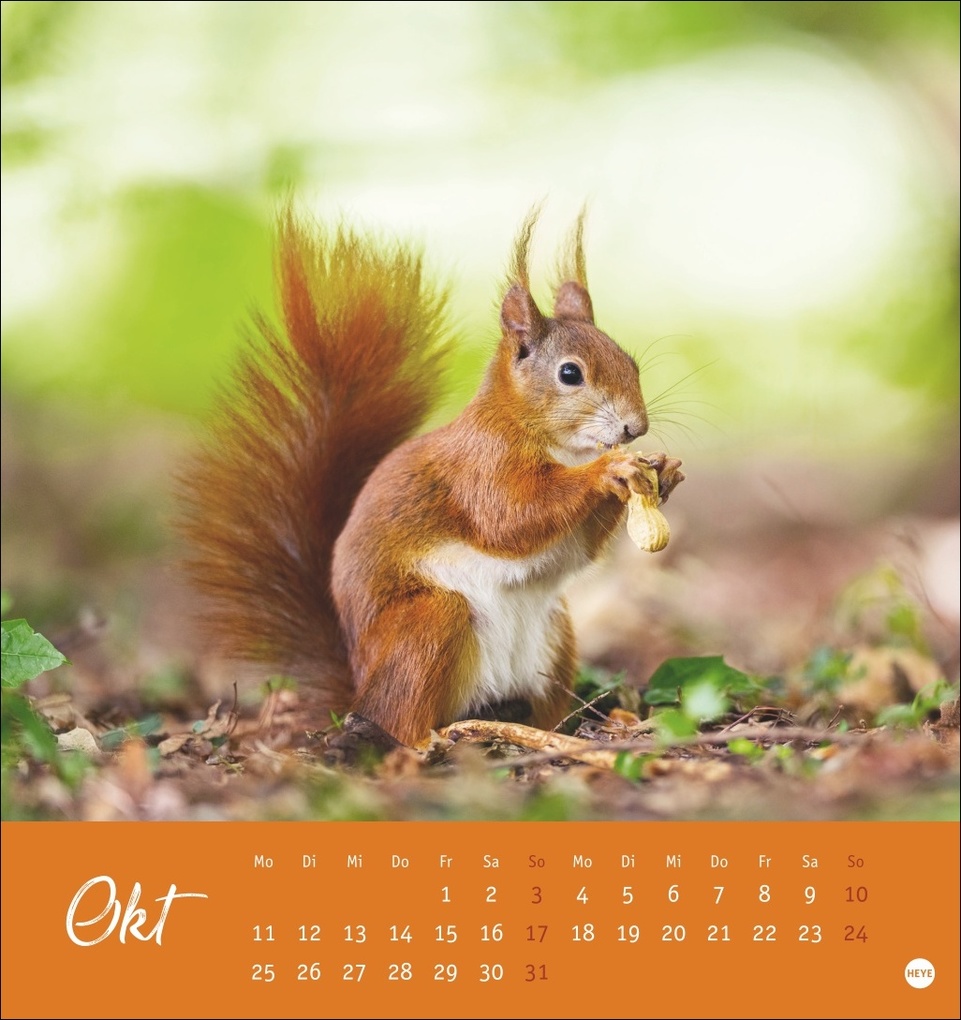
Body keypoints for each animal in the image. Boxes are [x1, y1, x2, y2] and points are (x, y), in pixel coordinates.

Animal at [177, 208, 684, 747]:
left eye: (631, 363)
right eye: (571, 374)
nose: (636, 427)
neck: (556, 445)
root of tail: (358, 688)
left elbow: (574, 548)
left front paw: (664, 473)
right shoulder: (480, 467)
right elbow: (511, 518)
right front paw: (608, 471)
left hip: (556, 636)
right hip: (430, 623)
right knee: (398, 714)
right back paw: (425, 740)